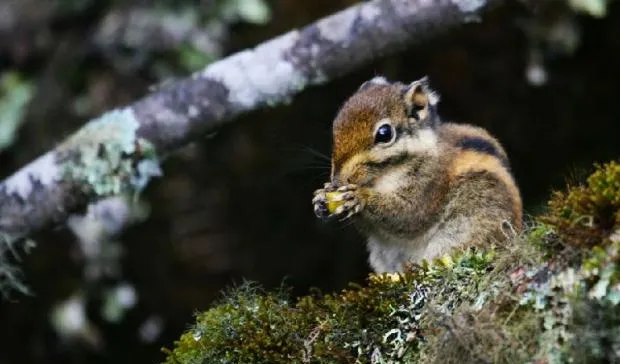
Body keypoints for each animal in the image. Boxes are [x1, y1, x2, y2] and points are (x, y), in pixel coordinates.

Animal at [312, 76, 520, 272]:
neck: (382, 176)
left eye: (384, 133)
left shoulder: (432, 182)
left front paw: (359, 196)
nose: (337, 180)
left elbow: (409, 214)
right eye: (336, 126)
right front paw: (321, 199)